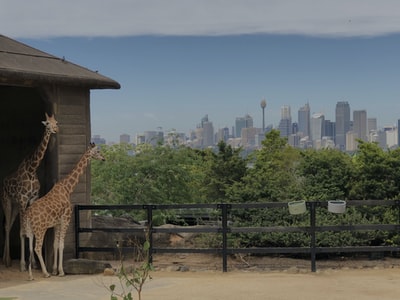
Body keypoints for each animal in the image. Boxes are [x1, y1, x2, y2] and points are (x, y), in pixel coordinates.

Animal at [1, 112, 58, 270]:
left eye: (56, 122)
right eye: (47, 124)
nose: (56, 129)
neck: (32, 170)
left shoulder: (32, 199)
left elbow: (29, 229)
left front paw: (33, 263)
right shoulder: (22, 199)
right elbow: (22, 231)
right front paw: (22, 264)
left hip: (15, 205)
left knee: (9, 225)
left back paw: (6, 260)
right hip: (7, 202)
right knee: (7, 226)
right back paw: (7, 260)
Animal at [23, 142, 104, 280]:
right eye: (98, 151)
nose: (104, 158)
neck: (67, 188)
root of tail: (28, 214)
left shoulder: (56, 223)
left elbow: (55, 244)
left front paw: (55, 270)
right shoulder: (66, 219)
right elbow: (61, 245)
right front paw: (61, 272)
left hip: (30, 230)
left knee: (29, 248)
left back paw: (30, 275)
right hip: (40, 229)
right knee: (37, 248)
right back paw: (45, 273)